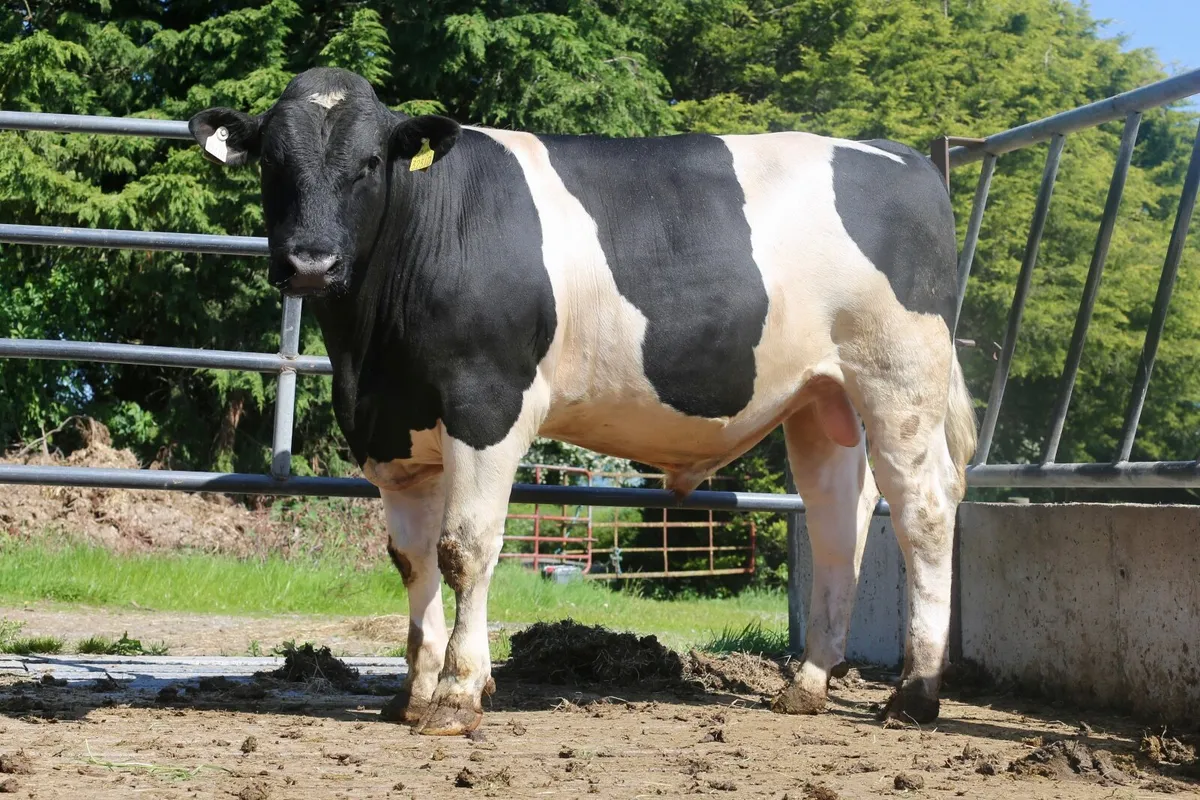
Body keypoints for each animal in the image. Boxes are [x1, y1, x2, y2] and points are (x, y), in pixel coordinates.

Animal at [189, 66, 976, 736]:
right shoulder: (395, 435)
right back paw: (807, 686)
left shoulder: (487, 405)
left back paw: (913, 696)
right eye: (272, 162)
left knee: (925, 509)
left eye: (369, 163)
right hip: (822, 399)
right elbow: (412, 560)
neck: (369, 353)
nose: (310, 261)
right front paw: (411, 694)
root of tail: (901, 156)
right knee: (838, 521)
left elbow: (463, 549)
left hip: (899, 376)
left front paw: (457, 696)